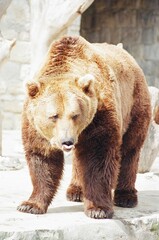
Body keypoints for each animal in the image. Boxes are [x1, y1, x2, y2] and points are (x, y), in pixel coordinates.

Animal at [17, 36, 152, 219]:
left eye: (75, 115)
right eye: (53, 116)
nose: (67, 141)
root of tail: (122, 50)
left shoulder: (99, 115)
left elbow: (98, 157)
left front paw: (98, 209)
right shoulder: (35, 126)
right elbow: (43, 159)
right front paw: (30, 205)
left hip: (134, 103)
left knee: (130, 149)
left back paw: (126, 196)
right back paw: (76, 191)